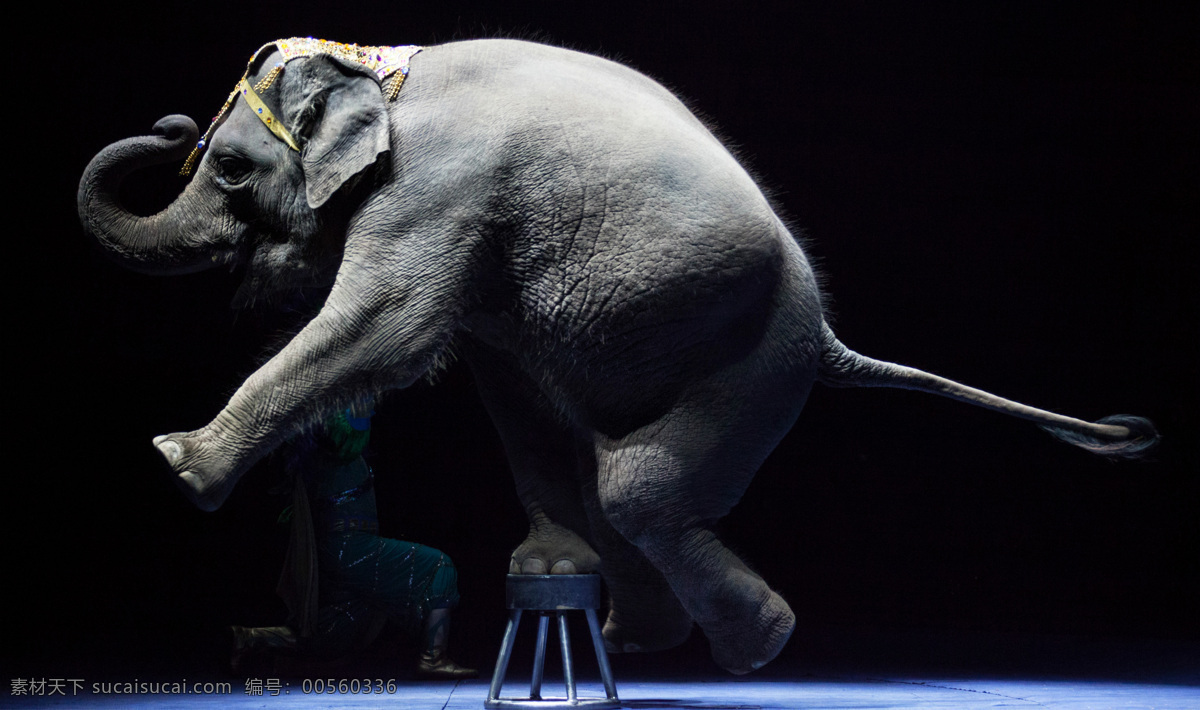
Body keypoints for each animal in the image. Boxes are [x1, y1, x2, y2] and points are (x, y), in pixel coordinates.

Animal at [72, 37, 1152, 671]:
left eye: (228, 167)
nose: (168, 124)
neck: (378, 69)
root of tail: (828, 341)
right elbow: (502, 384)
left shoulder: (440, 187)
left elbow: (388, 322)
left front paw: (174, 463)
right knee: (613, 478)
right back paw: (635, 636)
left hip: (752, 364)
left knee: (636, 488)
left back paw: (756, 646)